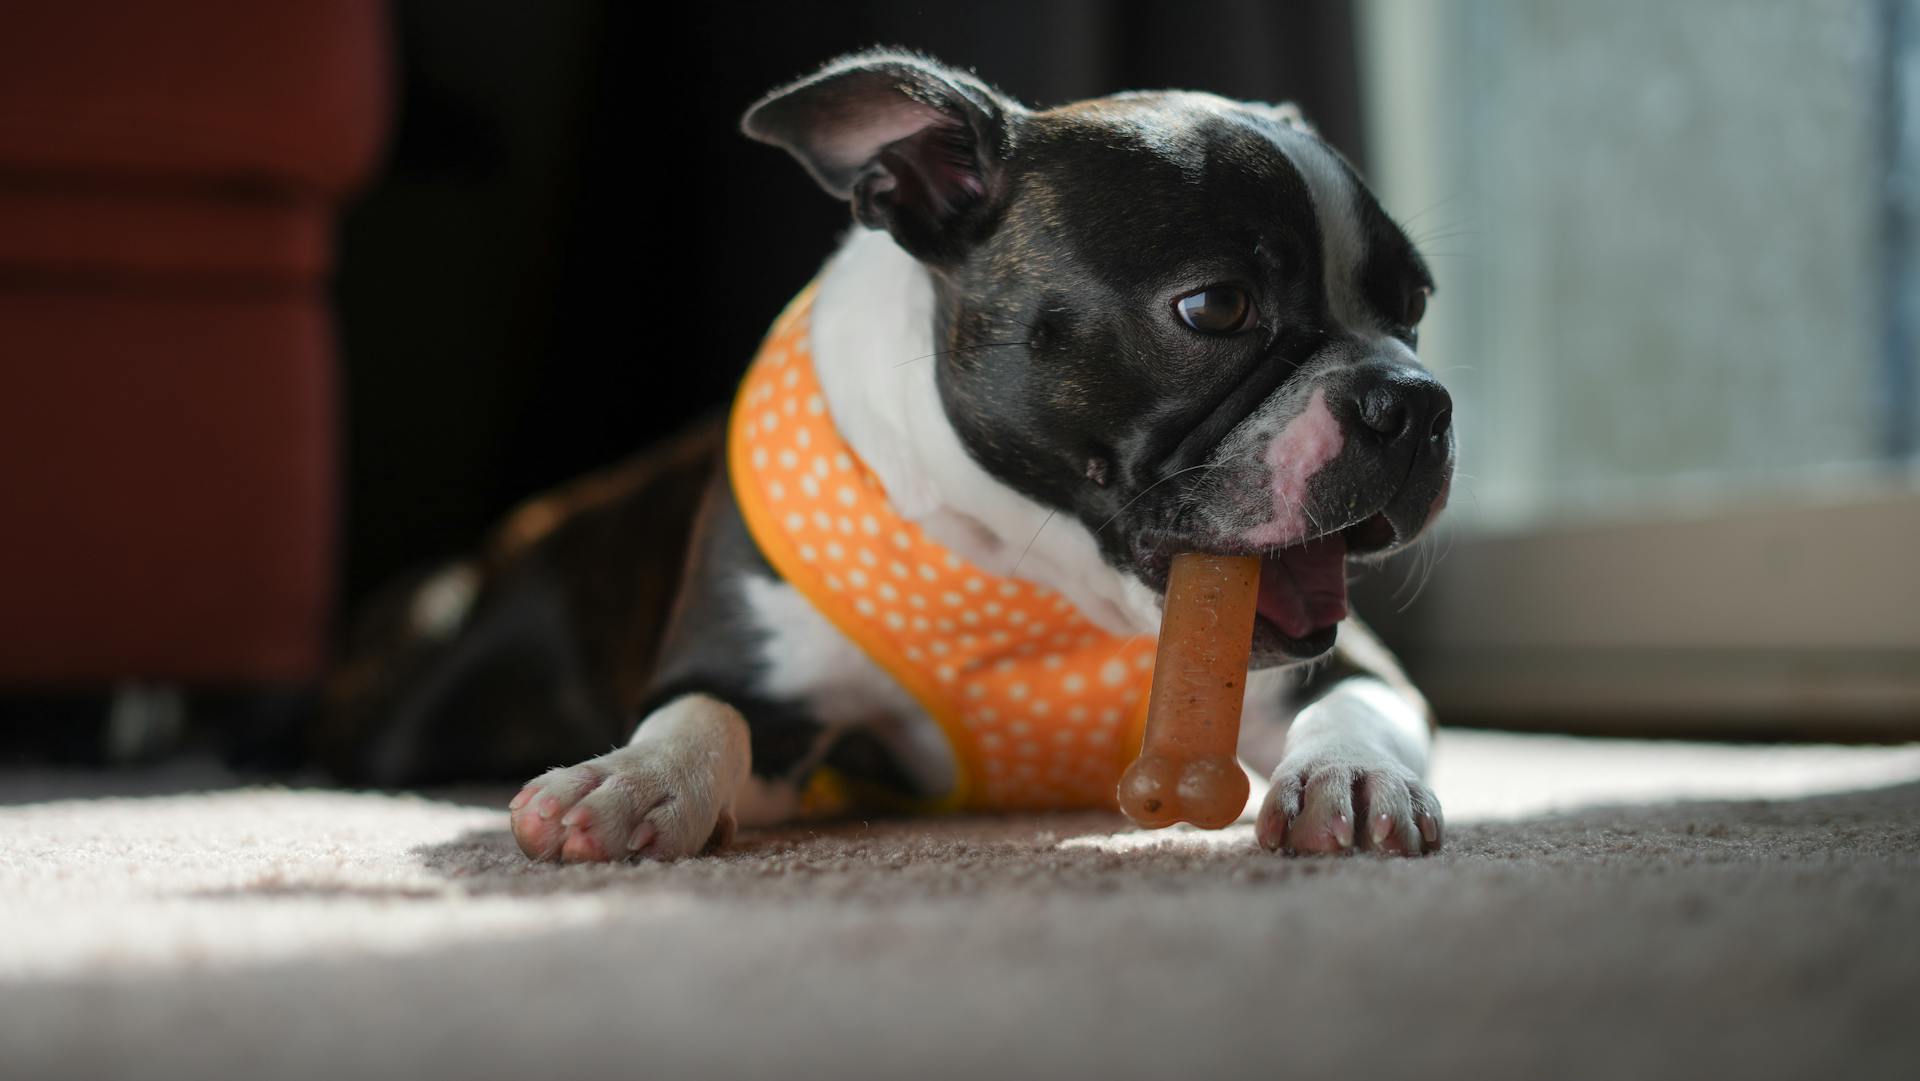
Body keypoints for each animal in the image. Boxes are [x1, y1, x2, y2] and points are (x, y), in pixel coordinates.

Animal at [432, 52, 1451, 864]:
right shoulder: (763, 689)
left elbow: (1359, 704)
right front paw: (635, 777)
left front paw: (1353, 780)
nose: (1414, 400)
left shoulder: (1340, 664)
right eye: (1216, 308)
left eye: (1414, 307)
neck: (1031, 562)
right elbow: (703, 711)